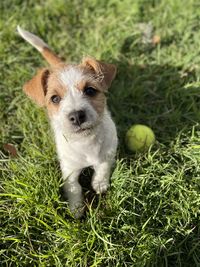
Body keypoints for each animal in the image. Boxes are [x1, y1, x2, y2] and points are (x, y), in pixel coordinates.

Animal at [17, 26, 117, 219]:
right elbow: (74, 188)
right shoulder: (69, 170)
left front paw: (99, 184)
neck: (85, 142)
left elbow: (102, 167)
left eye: (90, 90)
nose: (77, 116)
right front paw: (76, 208)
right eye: (55, 98)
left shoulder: (109, 151)